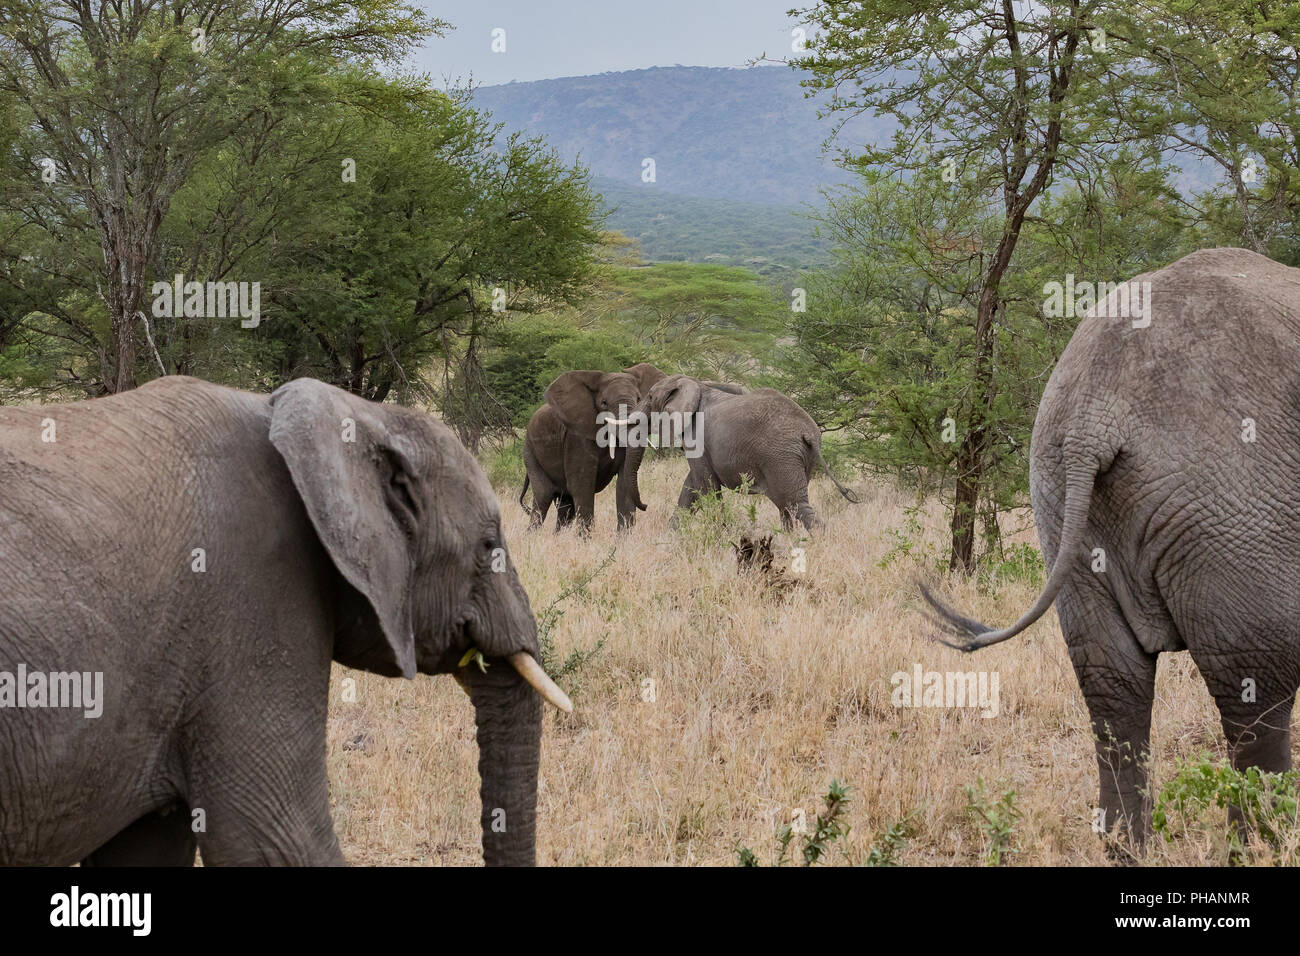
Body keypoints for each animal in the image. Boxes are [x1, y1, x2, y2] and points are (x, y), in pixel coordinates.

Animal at [517, 361, 665, 535]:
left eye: (639, 399)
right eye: (604, 403)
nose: (645, 505)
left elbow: (624, 484)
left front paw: (623, 539)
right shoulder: (577, 438)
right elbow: (582, 486)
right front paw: (585, 539)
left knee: (565, 507)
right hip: (530, 452)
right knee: (543, 498)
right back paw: (531, 536)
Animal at [624, 371, 857, 530]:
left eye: (650, 396)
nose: (644, 506)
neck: (697, 384)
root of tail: (809, 433)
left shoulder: (696, 436)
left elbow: (706, 486)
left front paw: (721, 534)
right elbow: (691, 486)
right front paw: (672, 535)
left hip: (780, 456)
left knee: (795, 505)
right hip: (799, 457)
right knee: (786, 507)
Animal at [925, 248, 1300, 853]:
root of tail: (1093, 419)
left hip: (1056, 492)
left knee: (1110, 682)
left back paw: (1126, 849)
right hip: (1237, 502)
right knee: (1256, 685)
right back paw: (1264, 846)